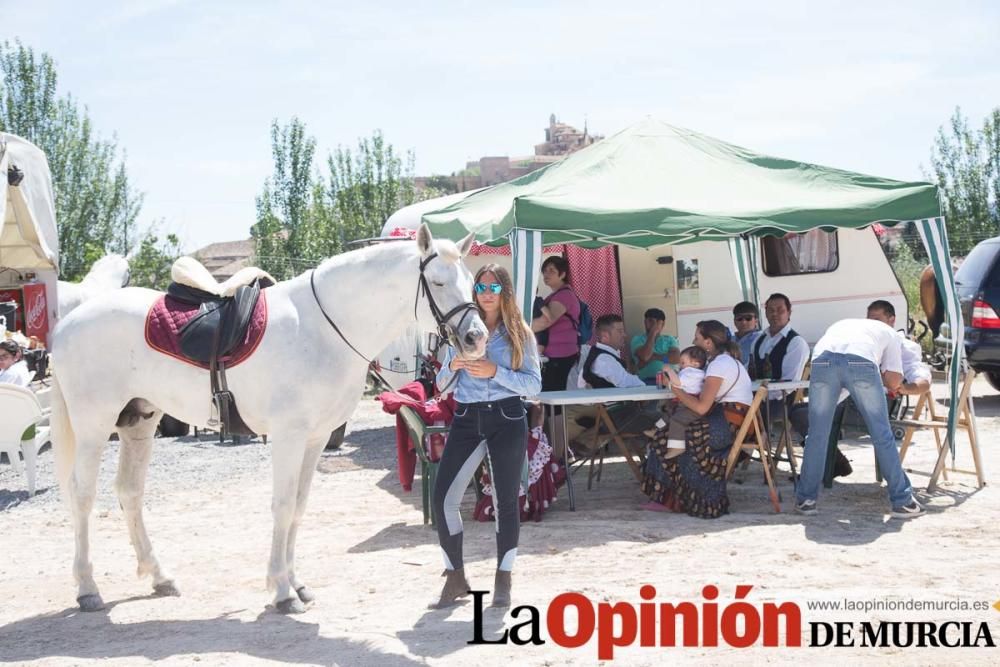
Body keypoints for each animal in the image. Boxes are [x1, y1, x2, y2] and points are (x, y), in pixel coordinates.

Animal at [48, 226, 486, 616]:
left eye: (471, 281)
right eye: (439, 282)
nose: (476, 337)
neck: (323, 327)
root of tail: (68, 323)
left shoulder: (315, 438)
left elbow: (299, 506)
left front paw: (296, 584)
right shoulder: (289, 436)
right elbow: (282, 505)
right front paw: (281, 592)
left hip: (138, 422)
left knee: (130, 493)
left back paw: (159, 576)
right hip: (94, 426)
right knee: (82, 495)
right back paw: (87, 589)